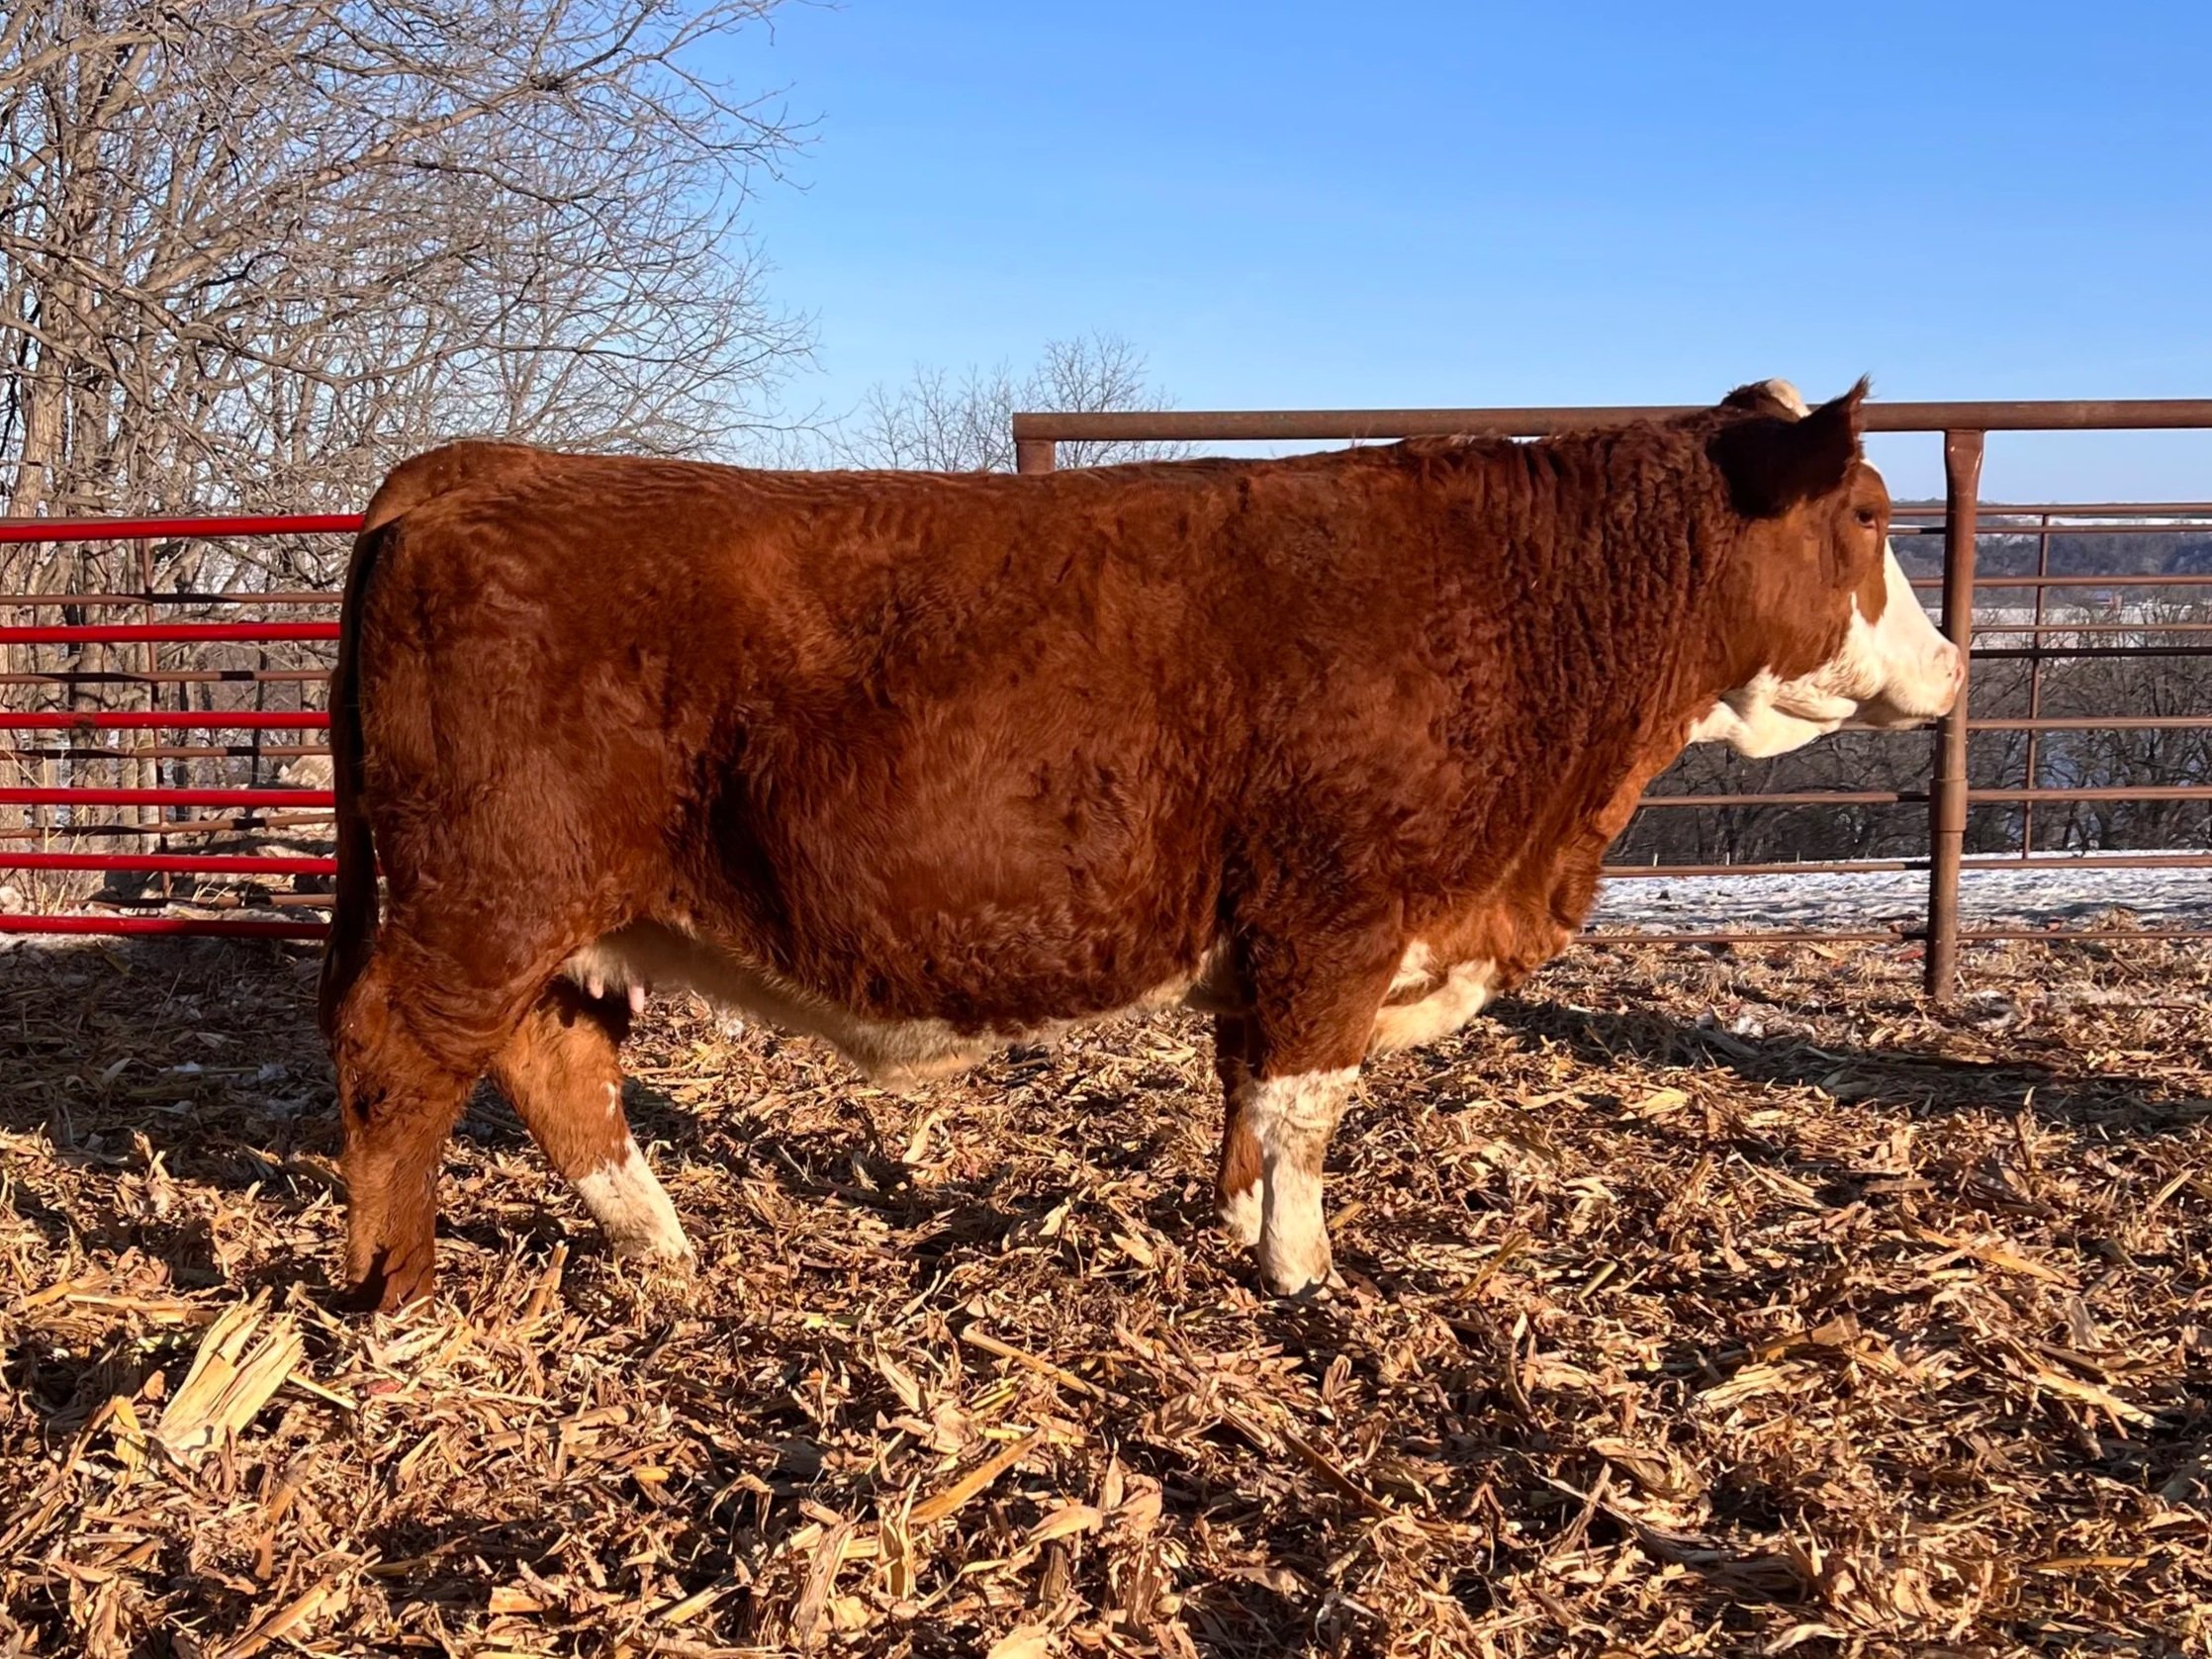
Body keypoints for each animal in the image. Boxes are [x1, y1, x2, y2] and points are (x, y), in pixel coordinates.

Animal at [318, 378, 1961, 1310]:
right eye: (1873, 514)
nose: (1950, 668)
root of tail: (485, 469)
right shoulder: (1338, 916)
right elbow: (1308, 1106)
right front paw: (1304, 1274)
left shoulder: (1275, 931)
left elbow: (1248, 1094)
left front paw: (1234, 1226)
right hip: (483, 897)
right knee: (403, 1061)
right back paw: (397, 1295)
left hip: (568, 920)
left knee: (555, 1068)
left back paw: (662, 1249)